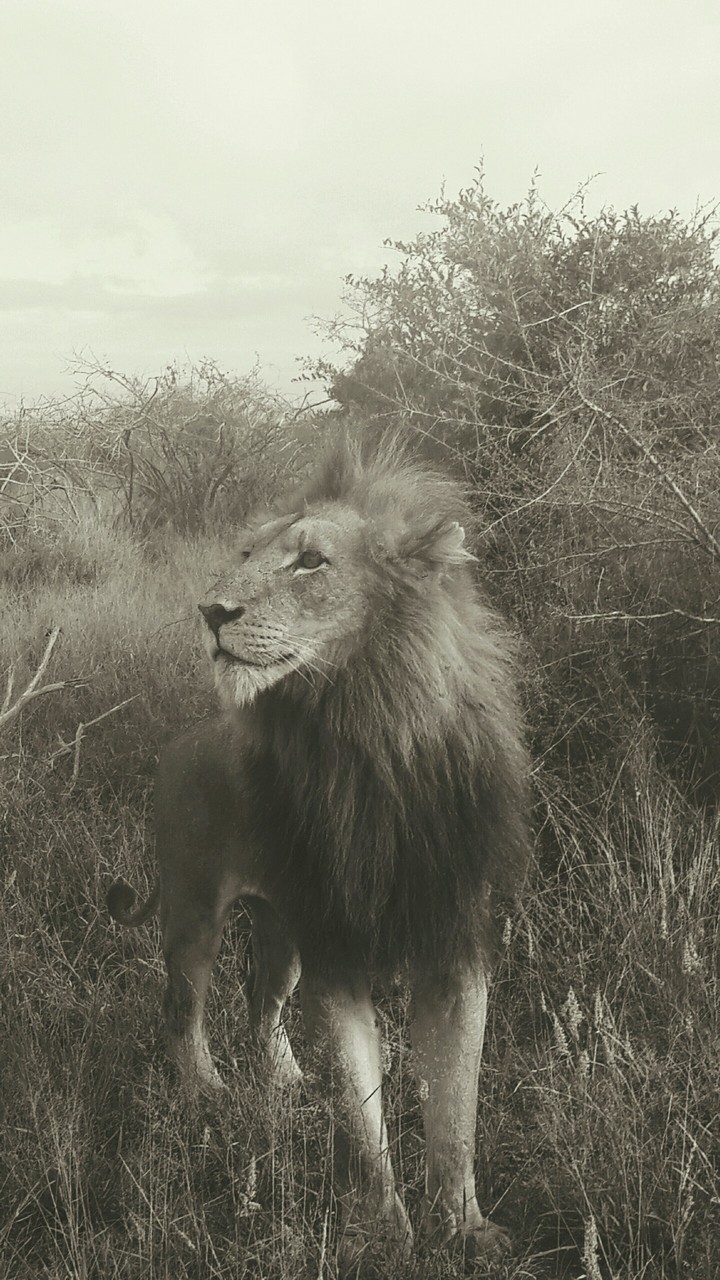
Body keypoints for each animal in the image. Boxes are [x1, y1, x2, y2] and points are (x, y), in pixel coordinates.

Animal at [108, 436, 531, 1272]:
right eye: (245, 554)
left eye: (310, 562)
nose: (211, 612)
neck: (368, 737)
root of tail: (178, 743)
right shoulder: (336, 950)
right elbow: (363, 1118)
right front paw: (388, 1234)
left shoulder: (454, 945)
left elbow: (457, 1111)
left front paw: (466, 1229)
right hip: (196, 914)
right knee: (182, 1010)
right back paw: (207, 1096)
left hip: (281, 929)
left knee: (260, 1003)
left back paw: (285, 1083)